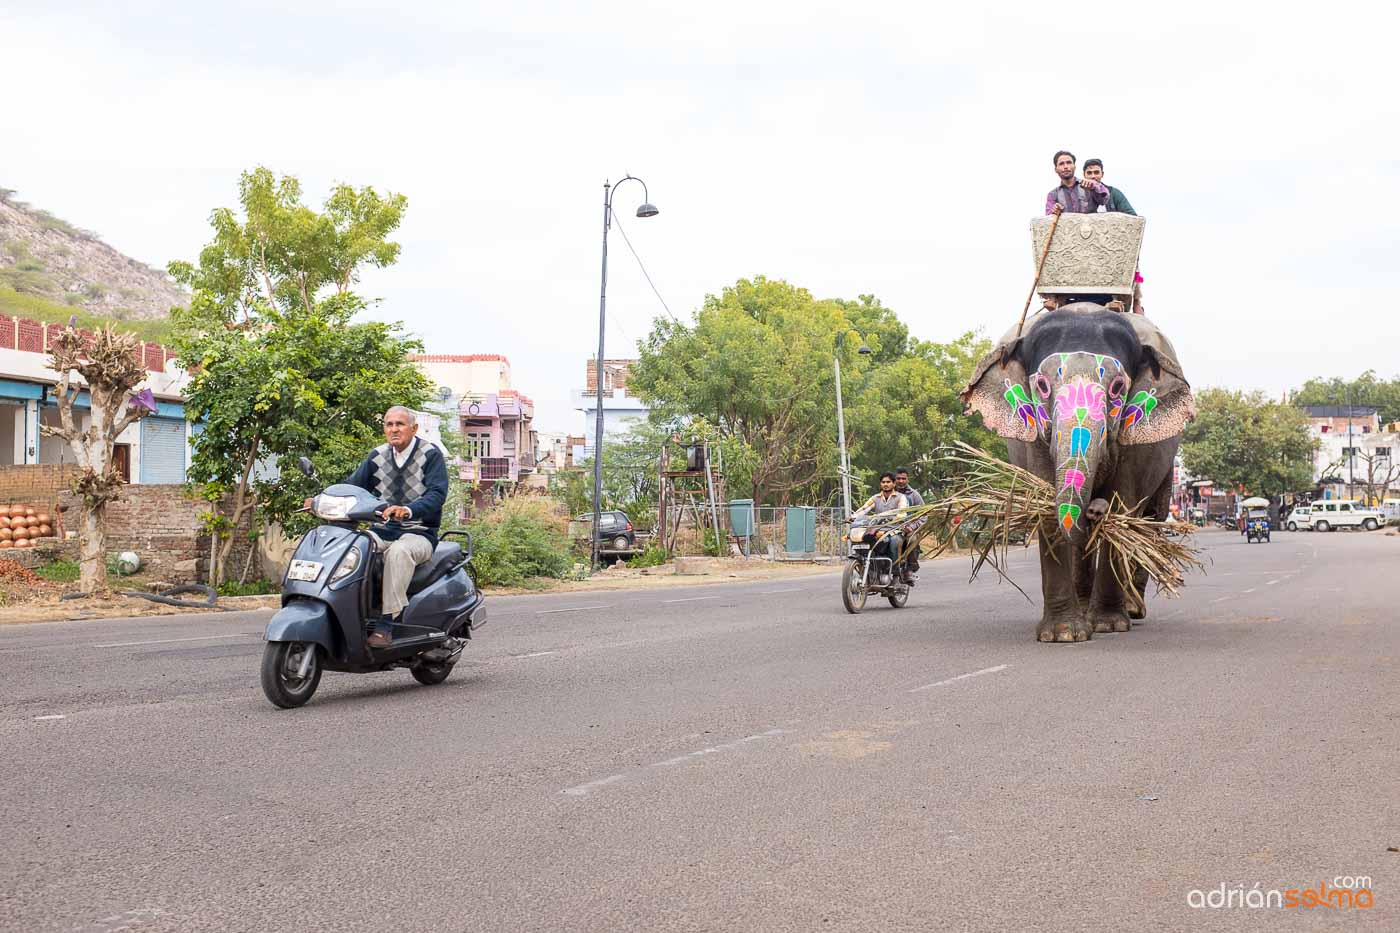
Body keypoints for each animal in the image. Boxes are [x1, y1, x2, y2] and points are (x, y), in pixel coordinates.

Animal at [957, 305, 1198, 638]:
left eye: (1118, 387)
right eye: (1042, 386)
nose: (1094, 509)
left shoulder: (1132, 439)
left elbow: (1122, 504)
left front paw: (1108, 625)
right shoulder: (1035, 436)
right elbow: (1045, 506)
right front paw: (1063, 634)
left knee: (1149, 520)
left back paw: (1132, 609)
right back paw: (1085, 610)